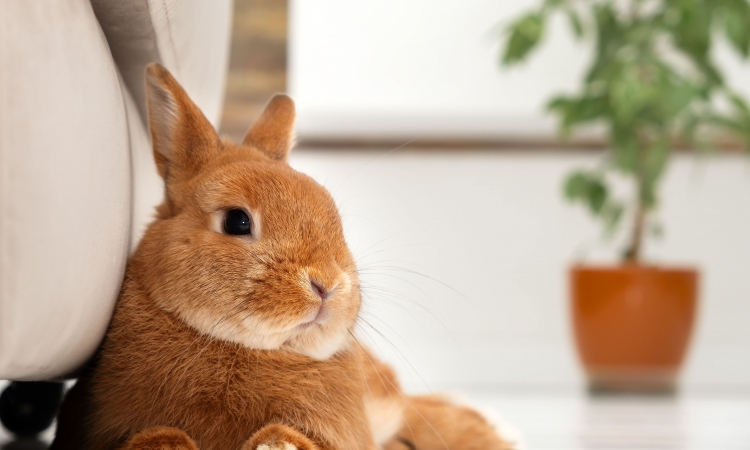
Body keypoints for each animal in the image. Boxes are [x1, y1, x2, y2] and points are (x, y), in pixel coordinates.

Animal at [48, 63, 516, 450]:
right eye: (237, 221)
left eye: (333, 215)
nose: (328, 285)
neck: (240, 347)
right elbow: (153, 435)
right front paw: (166, 444)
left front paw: (278, 441)